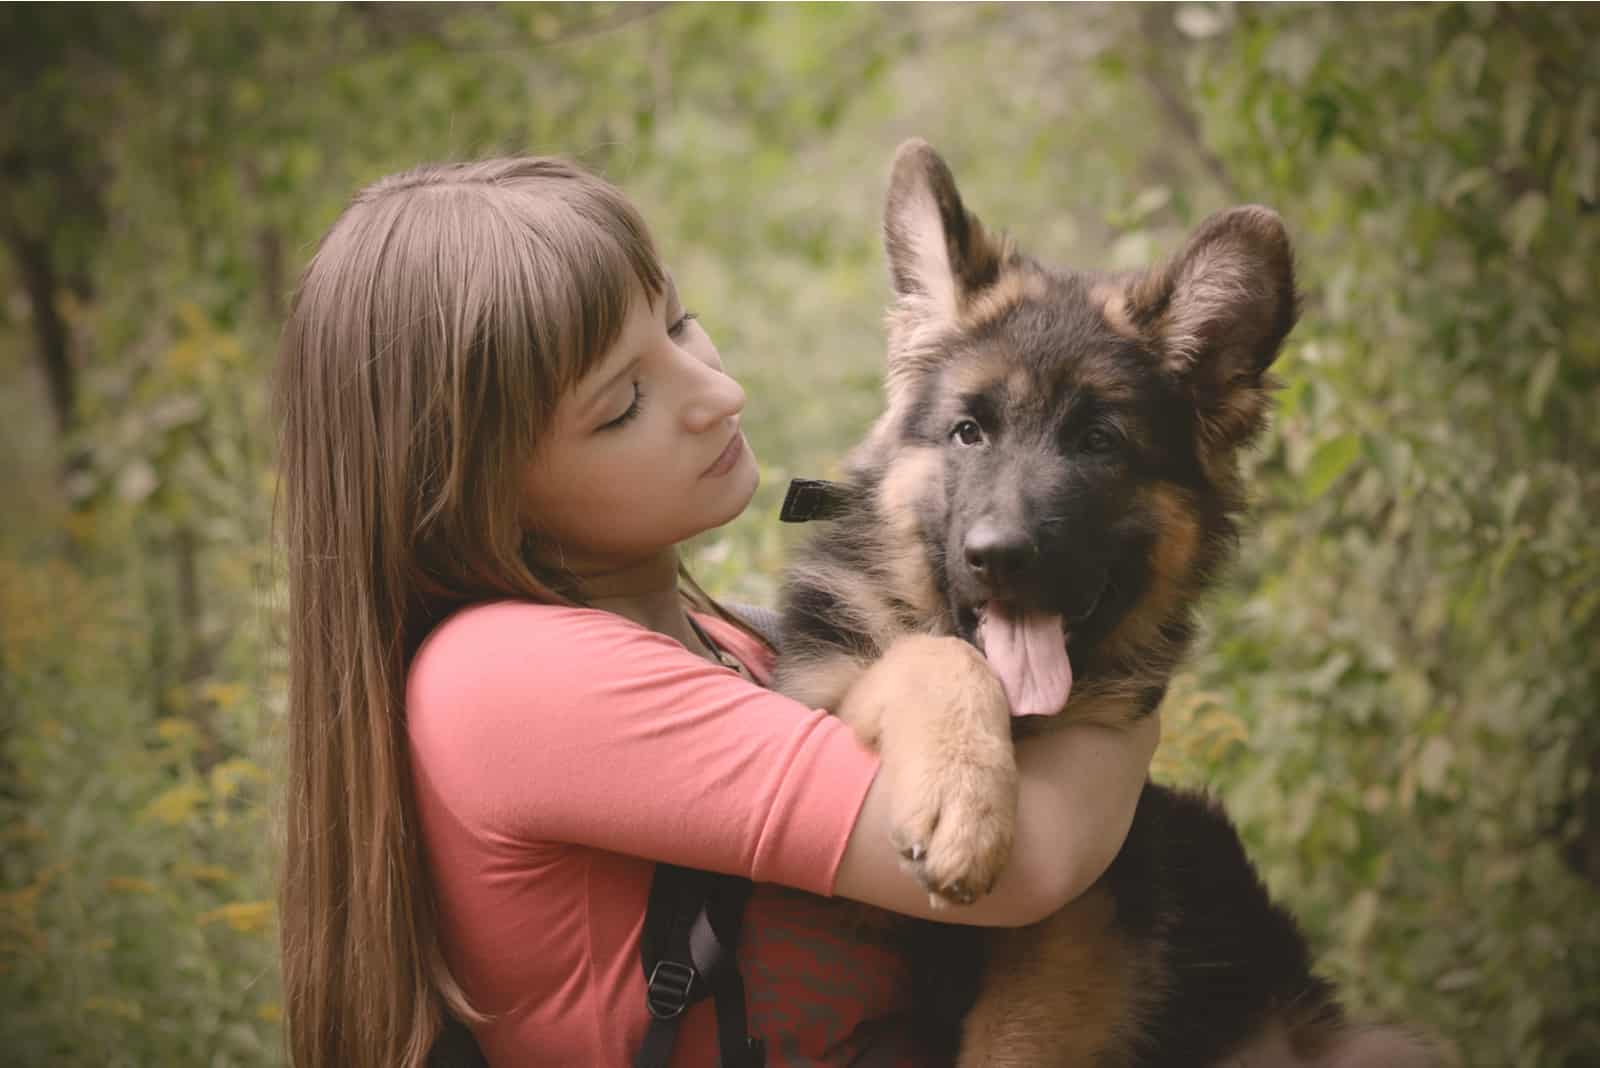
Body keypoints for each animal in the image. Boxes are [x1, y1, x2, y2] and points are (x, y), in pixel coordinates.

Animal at [768, 141, 1446, 1068]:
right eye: (968, 432)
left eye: (1098, 442)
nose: (1000, 557)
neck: (1023, 728)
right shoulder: (823, 716)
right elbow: (931, 654)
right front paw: (963, 799)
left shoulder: (1074, 938)